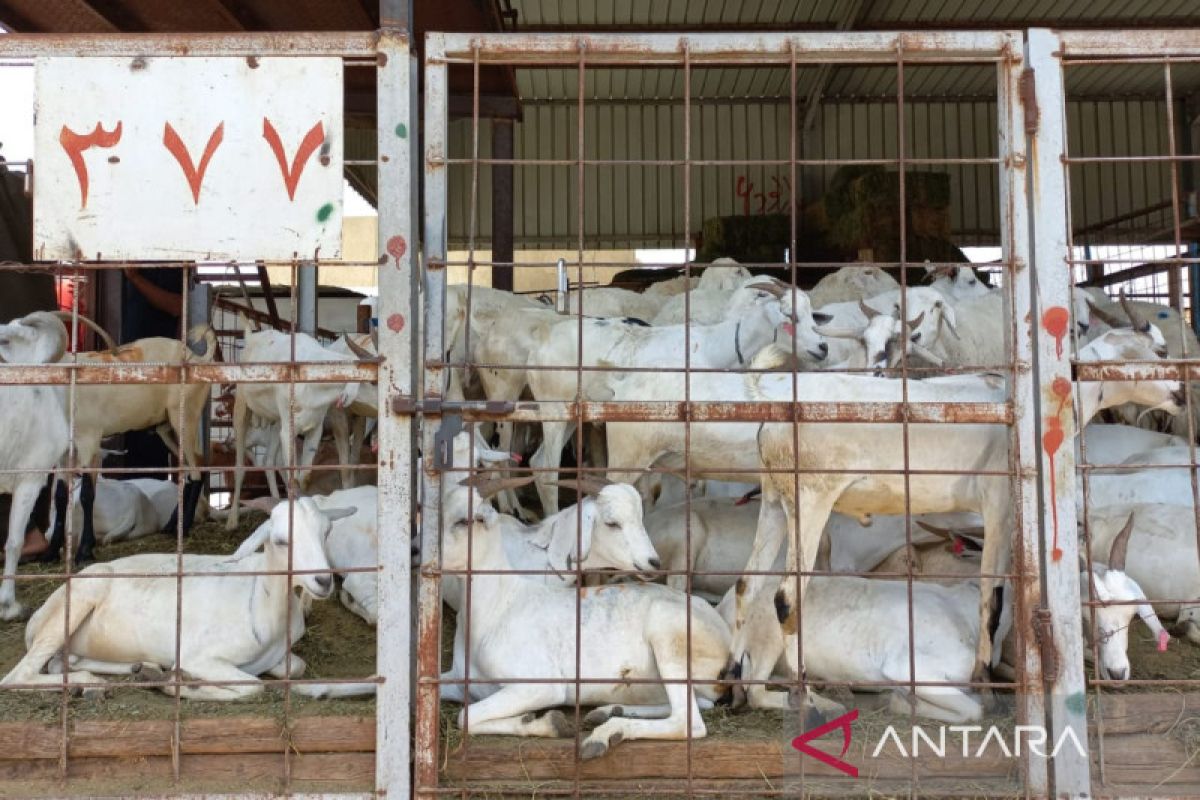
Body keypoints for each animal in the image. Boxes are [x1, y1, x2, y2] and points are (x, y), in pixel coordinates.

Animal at [1, 501, 374, 700]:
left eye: (326, 533)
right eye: (281, 540)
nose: (323, 581)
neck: (262, 597)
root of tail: (37, 616)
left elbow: (296, 667)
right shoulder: (200, 655)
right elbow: (252, 688)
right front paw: (178, 686)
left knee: (64, 662)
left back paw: (138, 670)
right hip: (79, 599)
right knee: (18, 676)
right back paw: (95, 683)